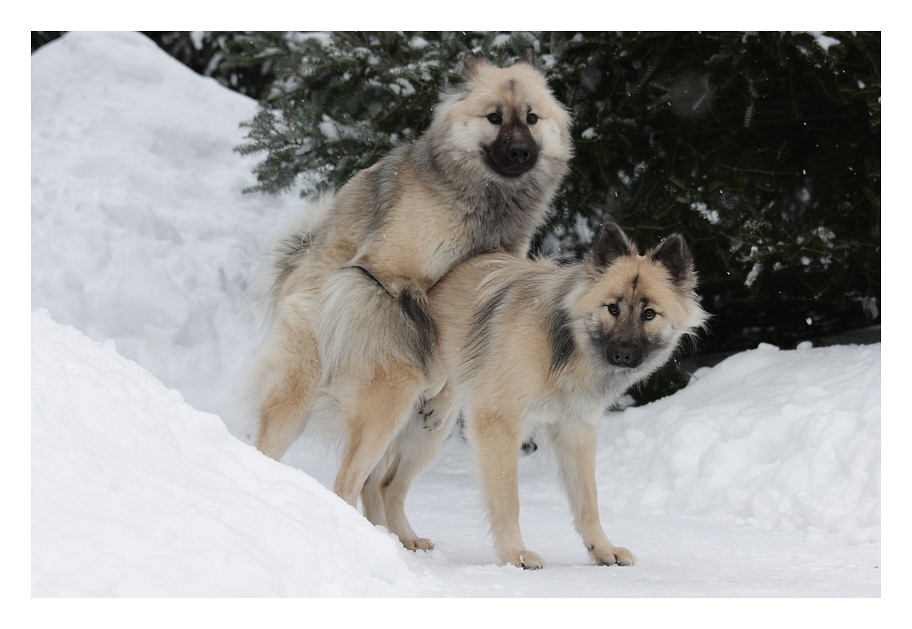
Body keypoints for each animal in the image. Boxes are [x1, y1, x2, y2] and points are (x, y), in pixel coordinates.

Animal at [253, 52, 572, 548]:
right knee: (334, 474)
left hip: (425, 437)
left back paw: (402, 539)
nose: (521, 152)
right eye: (494, 118)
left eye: (532, 118)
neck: (481, 202)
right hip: (322, 398)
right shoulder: (386, 277)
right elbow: (424, 328)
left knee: (383, 485)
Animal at [376, 223, 704, 568]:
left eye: (649, 314)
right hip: (387, 411)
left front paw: (602, 549)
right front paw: (515, 554)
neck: (568, 350)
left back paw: (399, 539)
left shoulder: (576, 432)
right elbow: (508, 498)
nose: (623, 355)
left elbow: (588, 499)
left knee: (385, 486)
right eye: (612, 308)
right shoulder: (498, 424)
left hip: (427, 436)